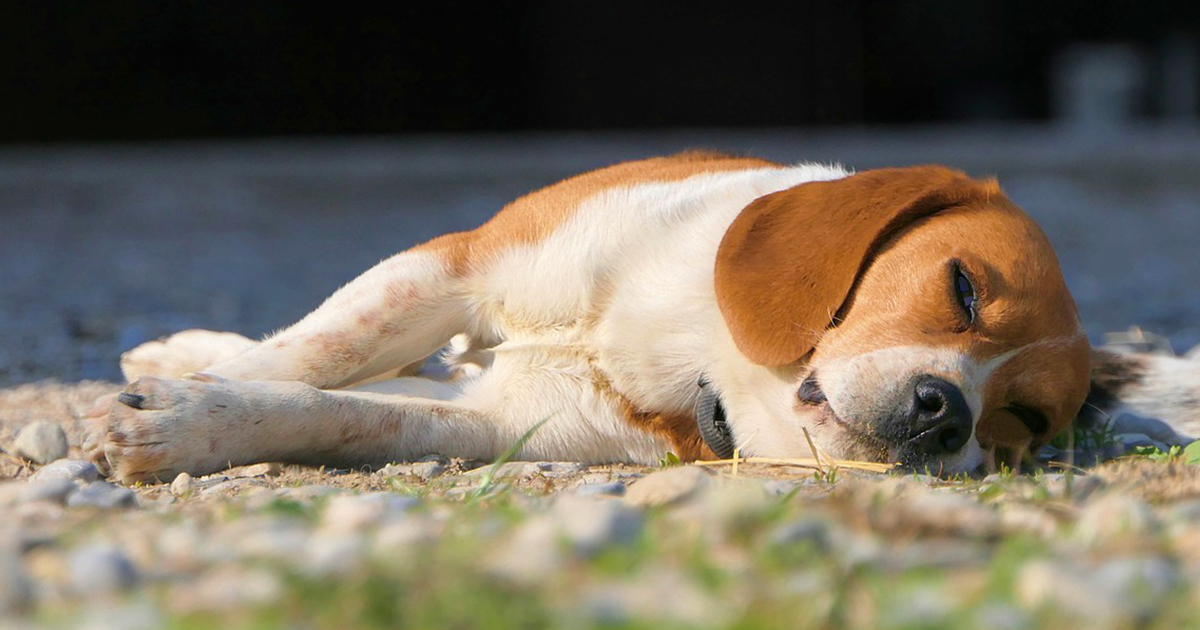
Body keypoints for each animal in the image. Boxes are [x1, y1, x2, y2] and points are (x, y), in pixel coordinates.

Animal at [82, 151, 1200, 482]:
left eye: (1023, 424)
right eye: (963, 288)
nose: (946, 417)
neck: (692, 349)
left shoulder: (504, 425)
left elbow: (344, 410)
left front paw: (186, 418)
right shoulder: (461, 263)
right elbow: (320, 354)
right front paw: (188, 400)